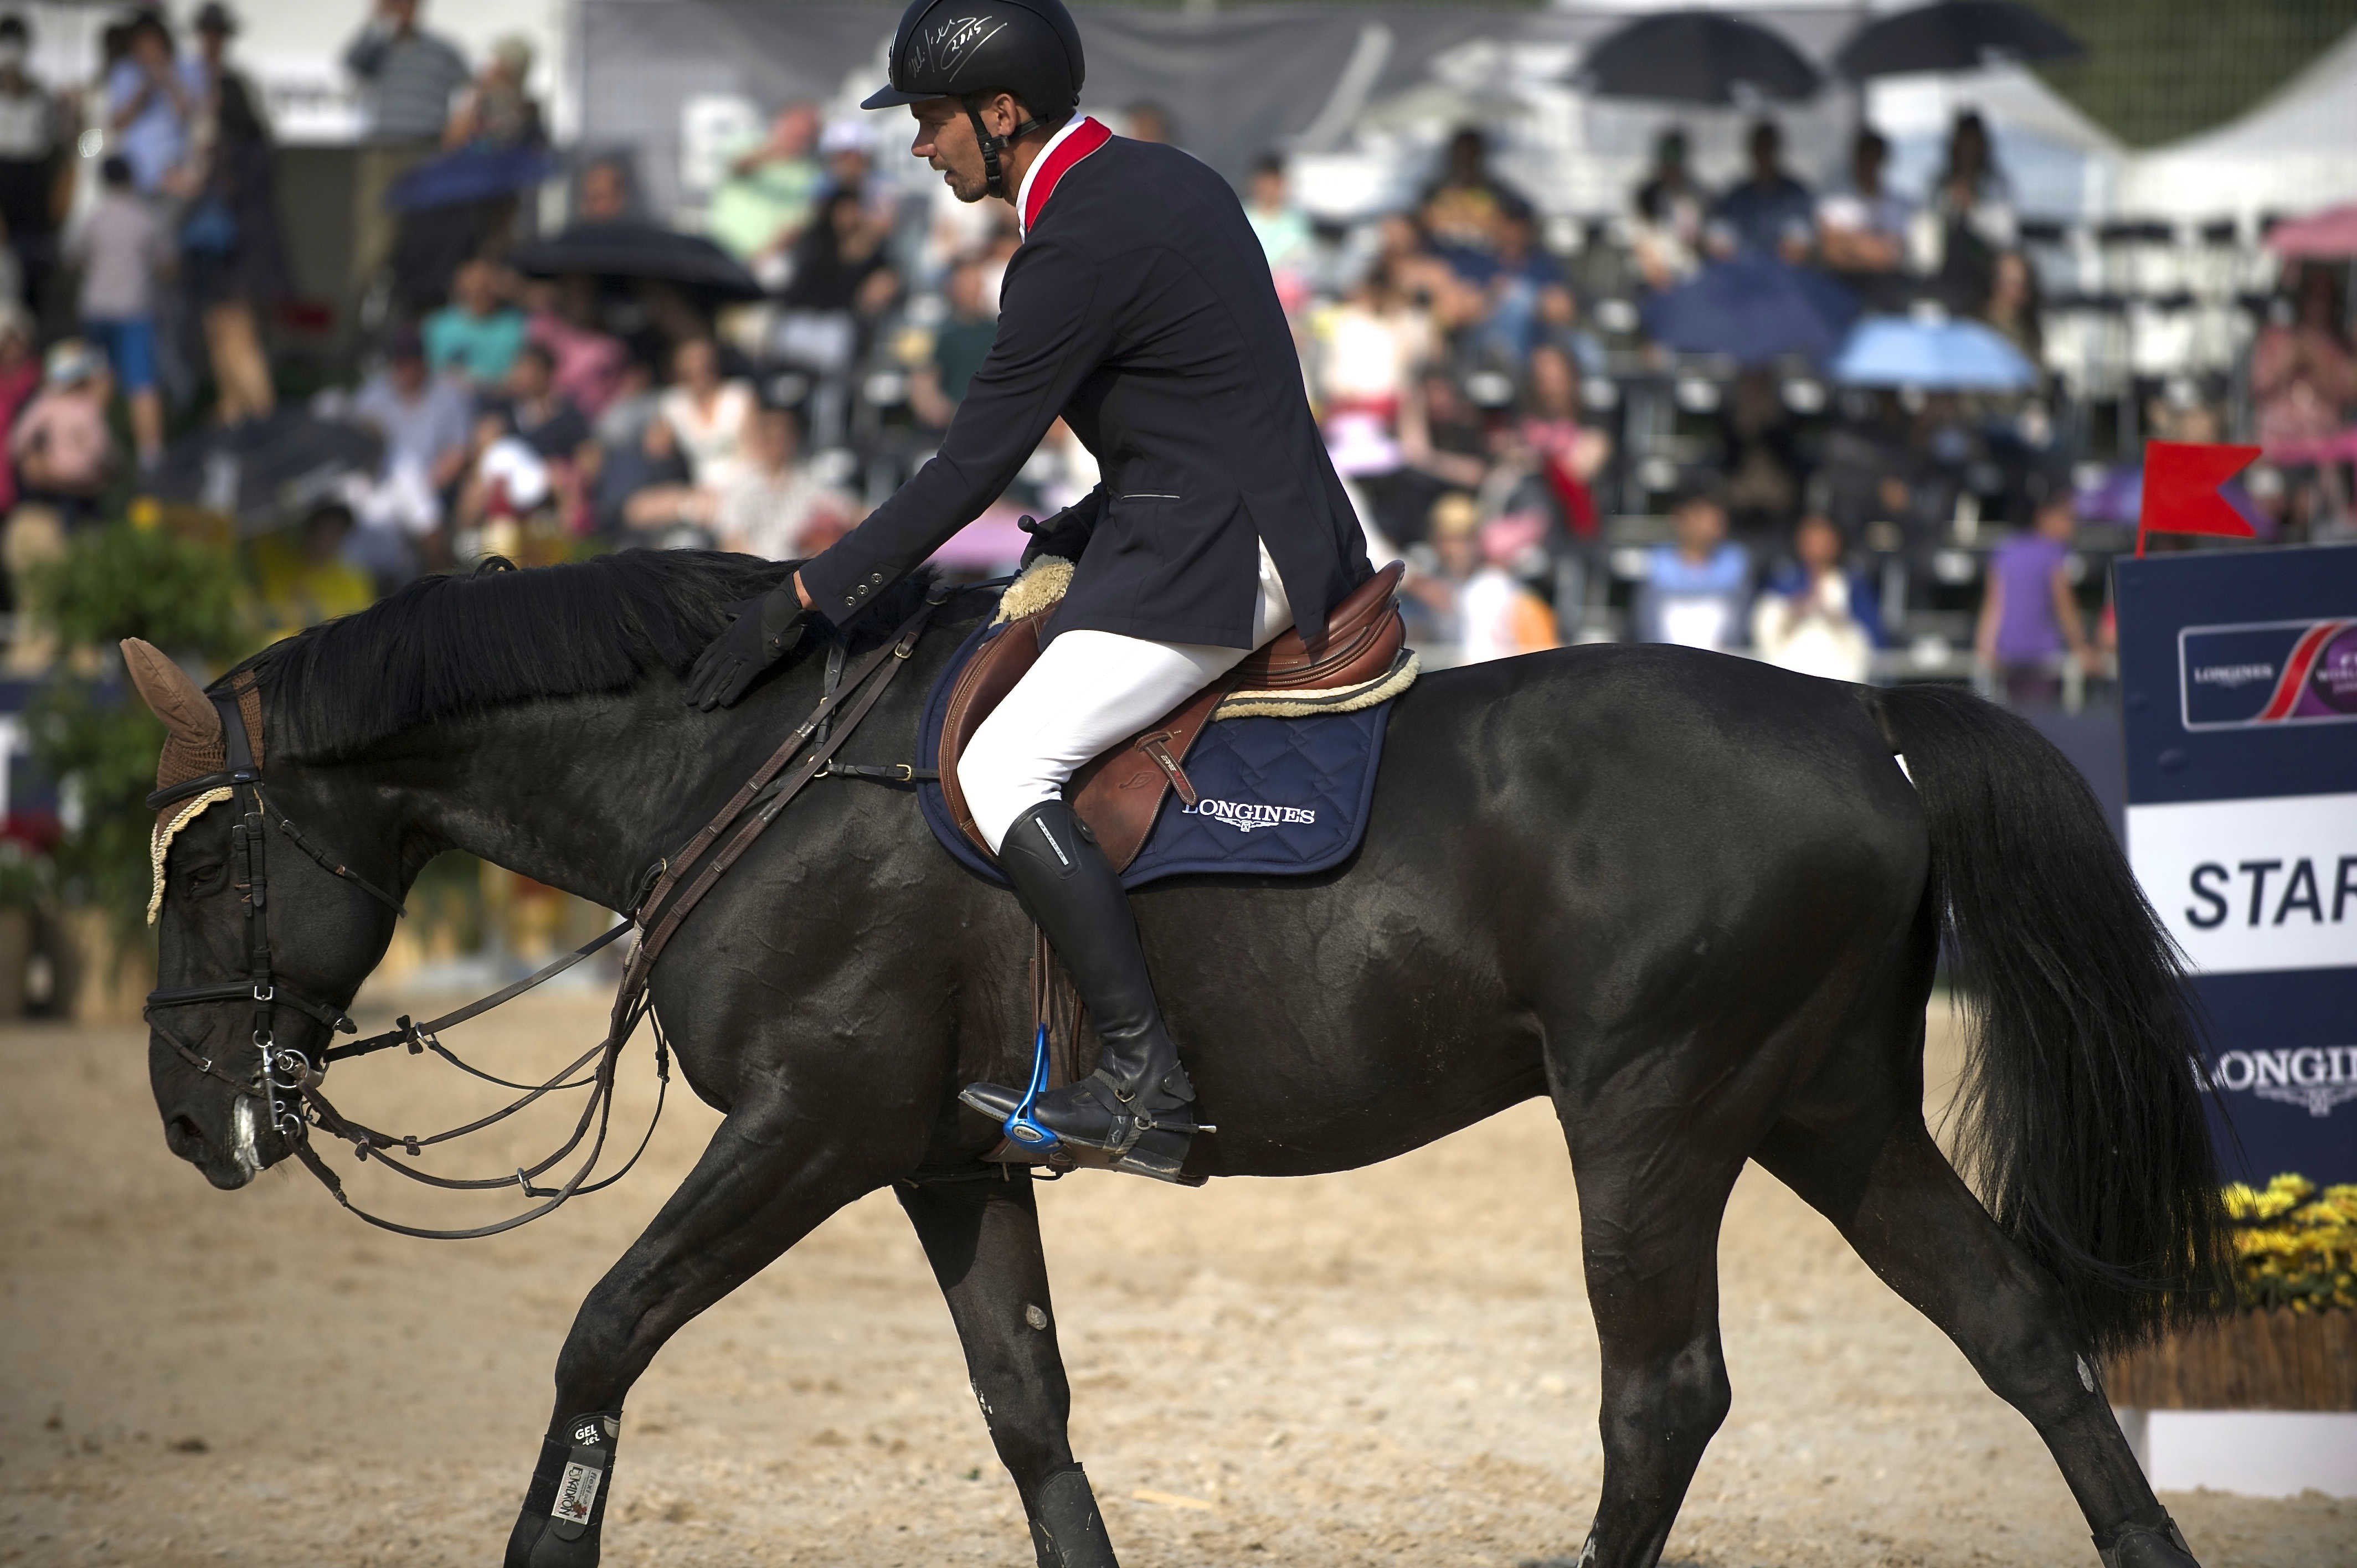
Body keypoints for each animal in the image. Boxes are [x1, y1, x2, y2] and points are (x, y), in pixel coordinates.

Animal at [137, 549, 2215, 1565]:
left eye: (214, 858)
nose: (184, 1114)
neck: (744, 762)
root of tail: (1860, 714)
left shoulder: (813, 1125)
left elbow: (601, 1334)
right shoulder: (941, 1157)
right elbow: (1025, 1410)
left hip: (1652, 1115)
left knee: (1661, 1400)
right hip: (1821, 1105)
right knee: (2017, 1334)